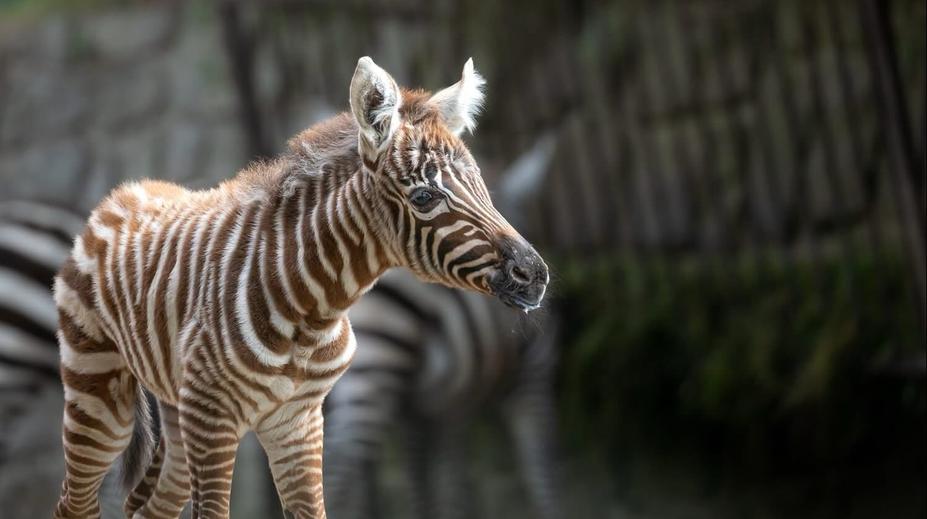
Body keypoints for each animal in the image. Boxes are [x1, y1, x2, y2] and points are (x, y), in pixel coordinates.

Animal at [52, 56, 548, 519]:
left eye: (481, 186)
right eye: (424, 197)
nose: (536, 274)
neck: (311, 307)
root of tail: (122, 191)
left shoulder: (297, 421)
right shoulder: (214, 421)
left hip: (176, 412)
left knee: (147, 505)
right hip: (99, 395)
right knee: (74, 503)